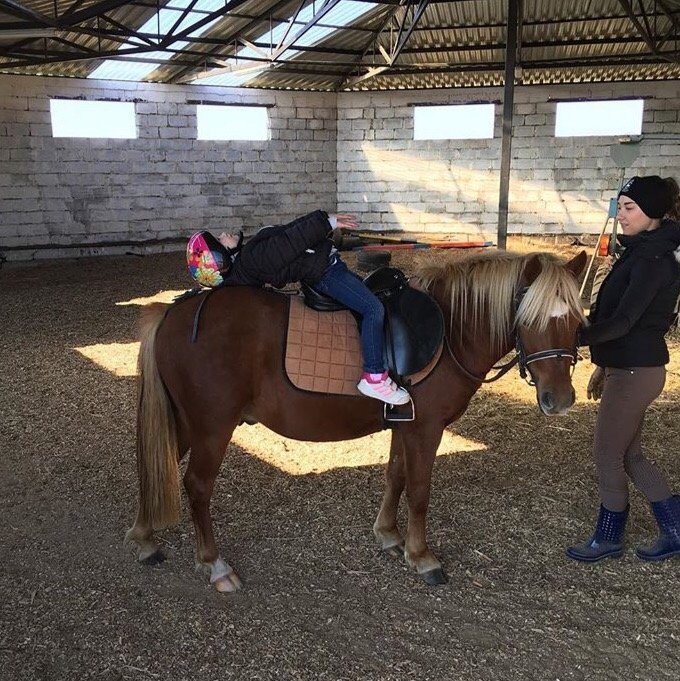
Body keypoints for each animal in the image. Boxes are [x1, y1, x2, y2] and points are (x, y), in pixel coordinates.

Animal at [126, 249, 586, 592]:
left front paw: (389, 535)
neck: (451, 331)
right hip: (212, 427)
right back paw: (214, 563)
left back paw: (145, 538)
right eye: (529, 319)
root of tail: (174, 311)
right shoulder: (427, 429)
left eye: (577, 322)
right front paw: (422, 556)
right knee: (197, 485)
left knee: (155, 468)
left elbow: (395, 477)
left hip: (186, 422)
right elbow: (419, 491)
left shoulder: (405, 425)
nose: (561, 400)